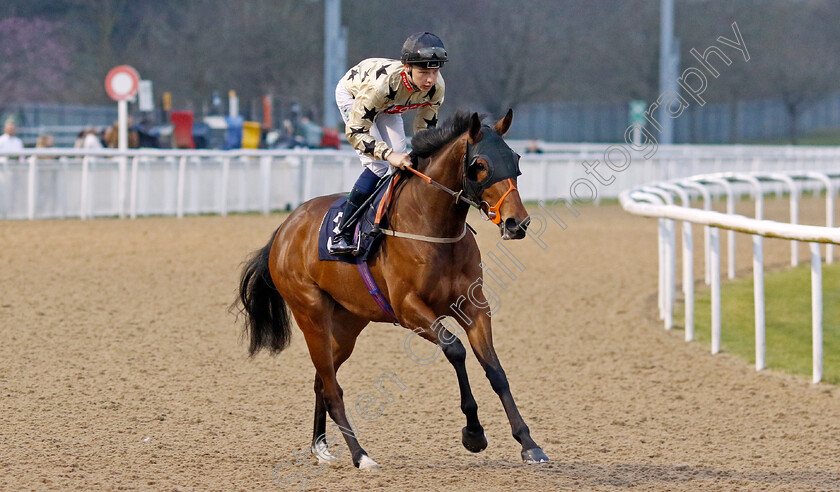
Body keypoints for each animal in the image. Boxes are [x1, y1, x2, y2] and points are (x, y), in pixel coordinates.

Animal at [238, 109, 552, 470]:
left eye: (515, 159)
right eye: (480, 165)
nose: (517, 223)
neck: (432, 227)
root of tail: (285, 228)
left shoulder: (474, 307)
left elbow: (495, 370)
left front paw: (529, 443)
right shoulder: (408, 309)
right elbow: (455, 350)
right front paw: (473, 433)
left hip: (346, 325)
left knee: (322, 380)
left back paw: (321, 446)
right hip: (311, 316)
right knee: (332, 389)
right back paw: (360, 455)